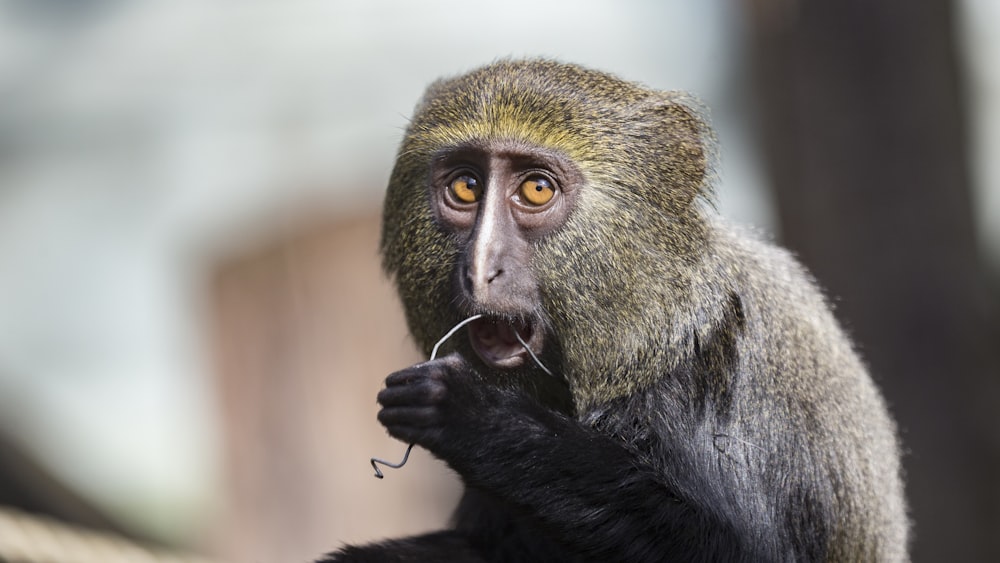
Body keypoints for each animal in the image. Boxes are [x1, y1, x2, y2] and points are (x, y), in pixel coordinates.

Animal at [318, 59, 908, 560]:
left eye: (536, 189)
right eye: (466, 186)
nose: (481, 267)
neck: (646, 322)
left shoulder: (692, 387)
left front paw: (473, 416)